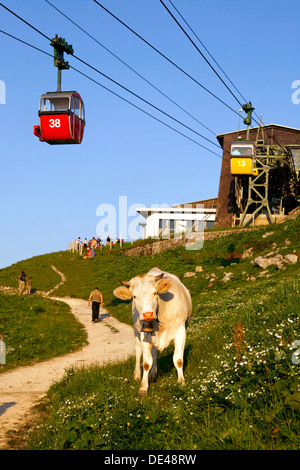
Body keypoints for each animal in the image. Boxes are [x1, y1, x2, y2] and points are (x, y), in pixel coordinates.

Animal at [112, 266, 192, 394]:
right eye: (134, 296)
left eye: (155, 293)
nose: (147, 314)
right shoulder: (144, 335)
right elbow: (146, 363)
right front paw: (143, 388)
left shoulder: (180, 331)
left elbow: (178, 359)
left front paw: (182, 382)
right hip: (136, 332)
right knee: (138, 350)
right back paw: (137, 375)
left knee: (155, 353)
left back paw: (153, 374)